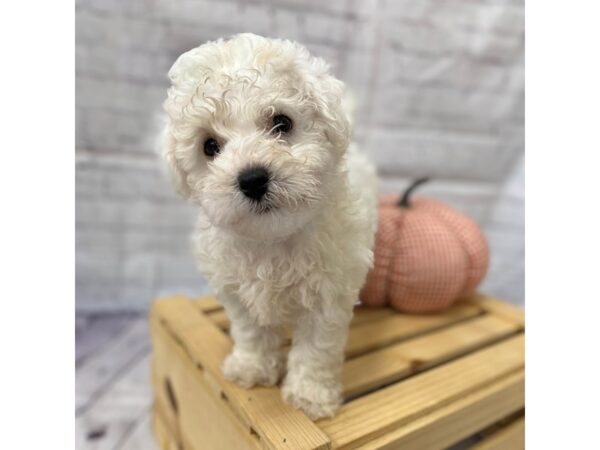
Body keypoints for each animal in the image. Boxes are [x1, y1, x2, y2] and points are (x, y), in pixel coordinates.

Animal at [159, 33, 376, 420]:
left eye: (282, 123)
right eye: (209, 146)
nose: (253, 179)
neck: (273, 238)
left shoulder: (328, 296)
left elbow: (316, 349)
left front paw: (309, 395)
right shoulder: (236, 290)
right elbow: (251, 332)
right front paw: (252, 368)